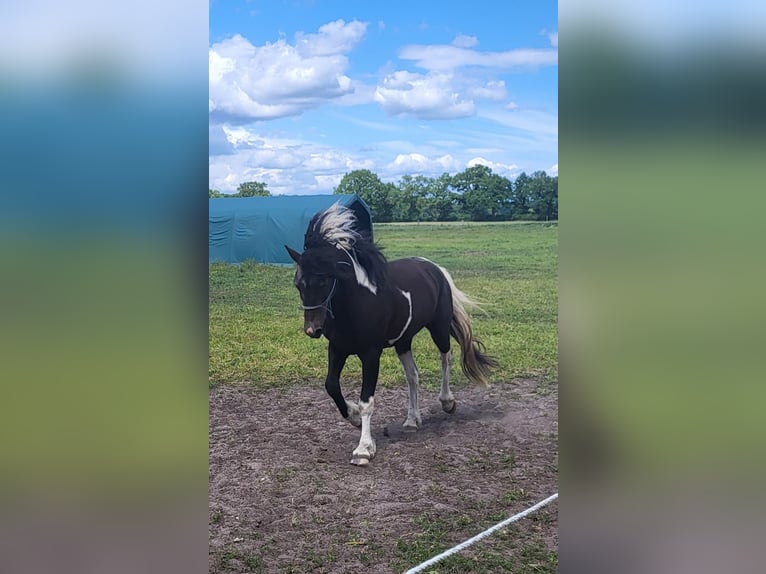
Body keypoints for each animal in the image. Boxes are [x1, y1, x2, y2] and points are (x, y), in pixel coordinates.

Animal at [285, 202, 497, 466]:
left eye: (324, 281)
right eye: (298, 284)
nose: (312, 330)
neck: (356, 303)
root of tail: (435, 269)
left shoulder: (370, 354)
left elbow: (367, 401)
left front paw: (364, 449)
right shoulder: (337, 349)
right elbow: (331, 386)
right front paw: (353, 416)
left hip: (438, 328)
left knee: (445, 358)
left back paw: (447, 402)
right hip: (403, 341)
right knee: (413, 376)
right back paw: (412, 420)